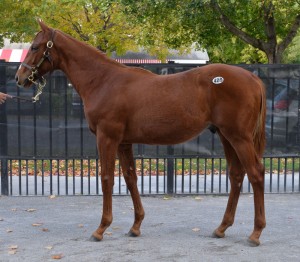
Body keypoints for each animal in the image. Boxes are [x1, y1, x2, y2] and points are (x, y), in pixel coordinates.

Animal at [15, 21, 266, 246]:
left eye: (35, 47)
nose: (19, 78)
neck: (104, 80)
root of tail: (253, 78)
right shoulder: (124, 142)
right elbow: (130, 178)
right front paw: (135, 226)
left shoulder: (107, 138)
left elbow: (107, 178)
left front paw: (101, 229)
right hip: (225, 136)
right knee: (236, 175)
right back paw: (222, 228)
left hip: (239, 137)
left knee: (256, 174)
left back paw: (255, 233)